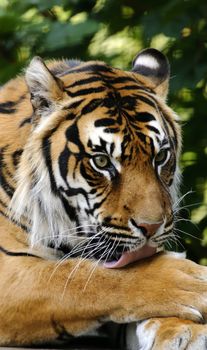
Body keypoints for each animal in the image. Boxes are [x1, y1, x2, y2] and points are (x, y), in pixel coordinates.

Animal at [0, 47, 207, 348]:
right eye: (101, 161)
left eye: (160, 157)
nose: (151, 227)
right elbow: (83, 279)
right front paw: (190, 282)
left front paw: (183, 330)